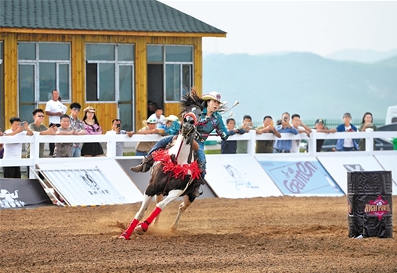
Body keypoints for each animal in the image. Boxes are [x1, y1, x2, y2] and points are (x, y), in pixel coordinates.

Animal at [119, 91, 203, 238]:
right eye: (186, 111)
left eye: (199, 114)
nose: (188, 122)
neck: (176, 160)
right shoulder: (151, 187)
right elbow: (141, 212)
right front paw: (126, 234)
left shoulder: (176, 191)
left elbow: (160, 207)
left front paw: (142, 227)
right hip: (159, 191)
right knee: (159, 203)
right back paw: (155, 225)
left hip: (191, 195)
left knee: (181, 207)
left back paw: (172, 227)